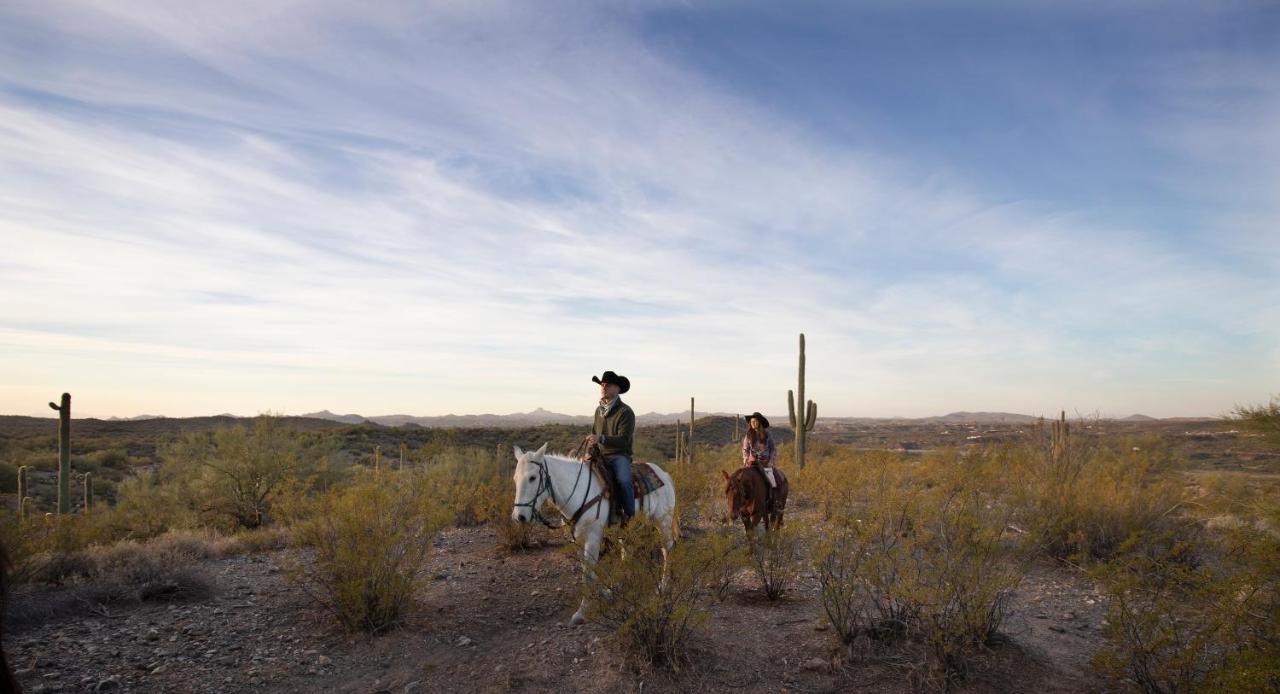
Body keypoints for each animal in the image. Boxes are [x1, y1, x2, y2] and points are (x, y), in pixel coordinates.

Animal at [506, 445, 680, 629]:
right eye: (515, 479)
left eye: (532, 478)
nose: (519, 516)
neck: (578, 492)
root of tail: (663, 474)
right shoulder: (578, 540)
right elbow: (587, 570)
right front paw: (606, 592)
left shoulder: (593, 538)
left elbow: (588, 574)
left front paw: (581, 612)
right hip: (627, 529)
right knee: (627, 553)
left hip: (663, 522)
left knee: (667, 550)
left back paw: (663, 586)